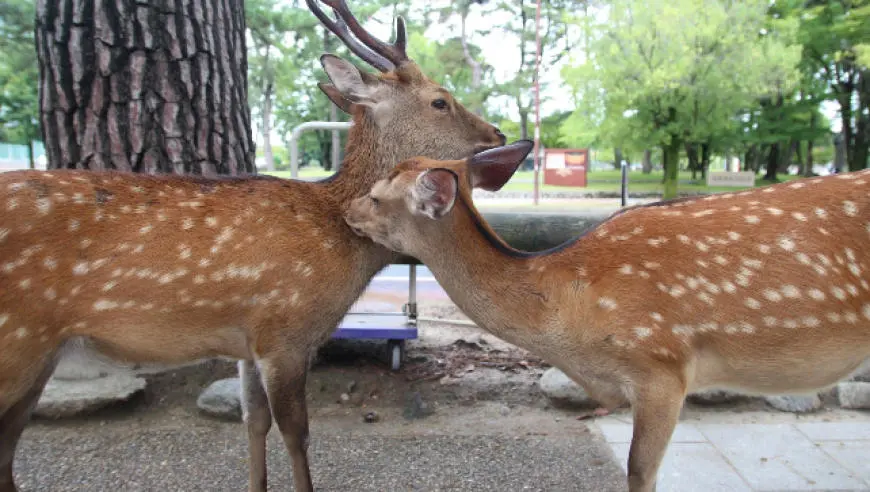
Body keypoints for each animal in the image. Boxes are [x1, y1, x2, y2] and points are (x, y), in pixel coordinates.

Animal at [0, 1, 507, 491]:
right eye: (440, 100)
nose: (498, 133)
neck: (341, 240)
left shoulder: (246, 342)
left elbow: (253, 422)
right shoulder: (284, 331)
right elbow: (296, 433)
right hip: (18, 339)